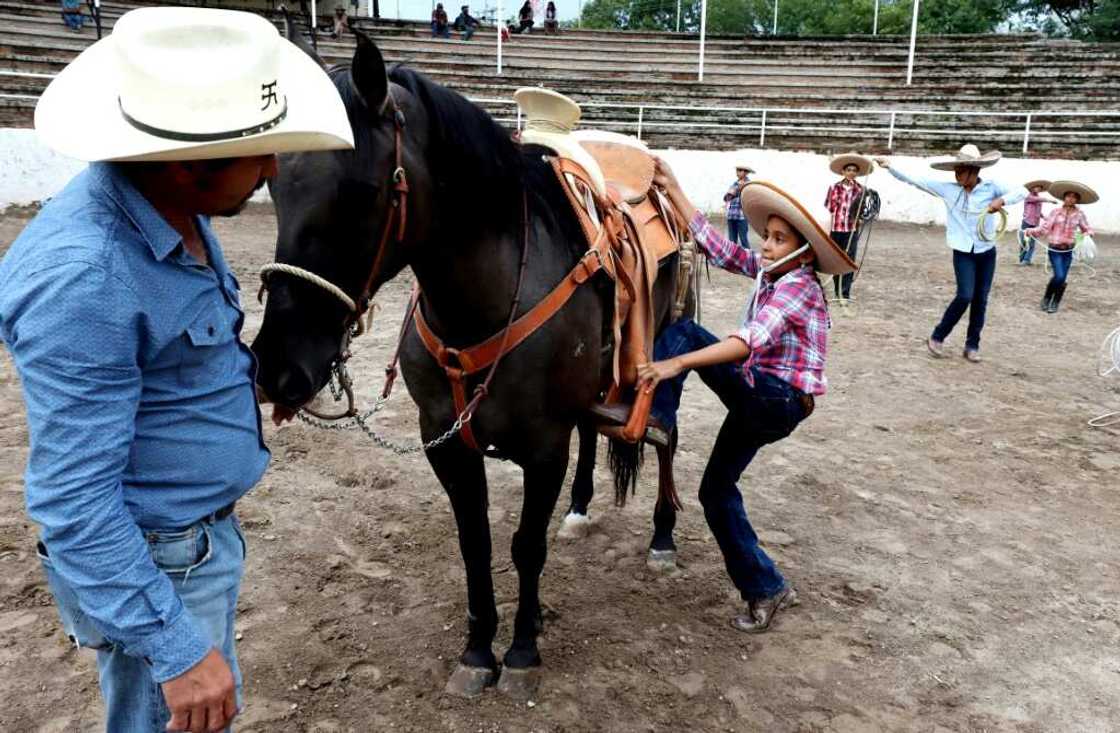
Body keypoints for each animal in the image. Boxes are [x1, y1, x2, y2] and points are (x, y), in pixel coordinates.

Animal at [252, 28, 680, 699]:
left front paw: (523, 651)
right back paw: (580, 509)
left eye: (363, 192)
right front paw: (479, 651)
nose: (278, 368)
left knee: (664, 434)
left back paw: (663, 534)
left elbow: (525, 545)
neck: (486, 302)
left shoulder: (544, 446)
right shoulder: (445, 440)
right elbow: (475, 544)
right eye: (274, 187)